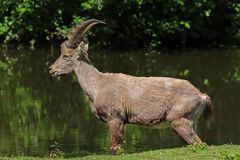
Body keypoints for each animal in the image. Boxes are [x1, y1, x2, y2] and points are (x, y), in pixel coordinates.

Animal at [48, 19, 214, 155]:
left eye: (66, 56)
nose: (51, 69)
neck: (98, 85)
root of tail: (201, 96)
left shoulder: (115, 119)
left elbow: (113, 149)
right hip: (192, 122)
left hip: (180, 121)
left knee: (199, 143)